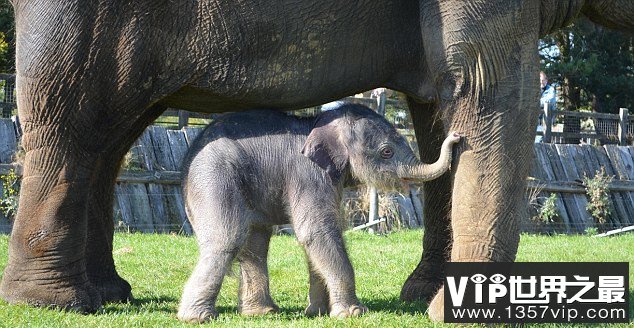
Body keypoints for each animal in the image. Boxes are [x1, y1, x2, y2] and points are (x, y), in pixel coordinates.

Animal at [175, 104, 456, 322]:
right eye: (387, 151)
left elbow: (317, 239)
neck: (321, 123)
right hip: (213, 176)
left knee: (256, 242)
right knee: (227, 239)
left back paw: (262, 313)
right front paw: (353, 313)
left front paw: (317, 312)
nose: (455, 136)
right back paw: (197, 317)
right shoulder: (308, 173)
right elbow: (316, 231)